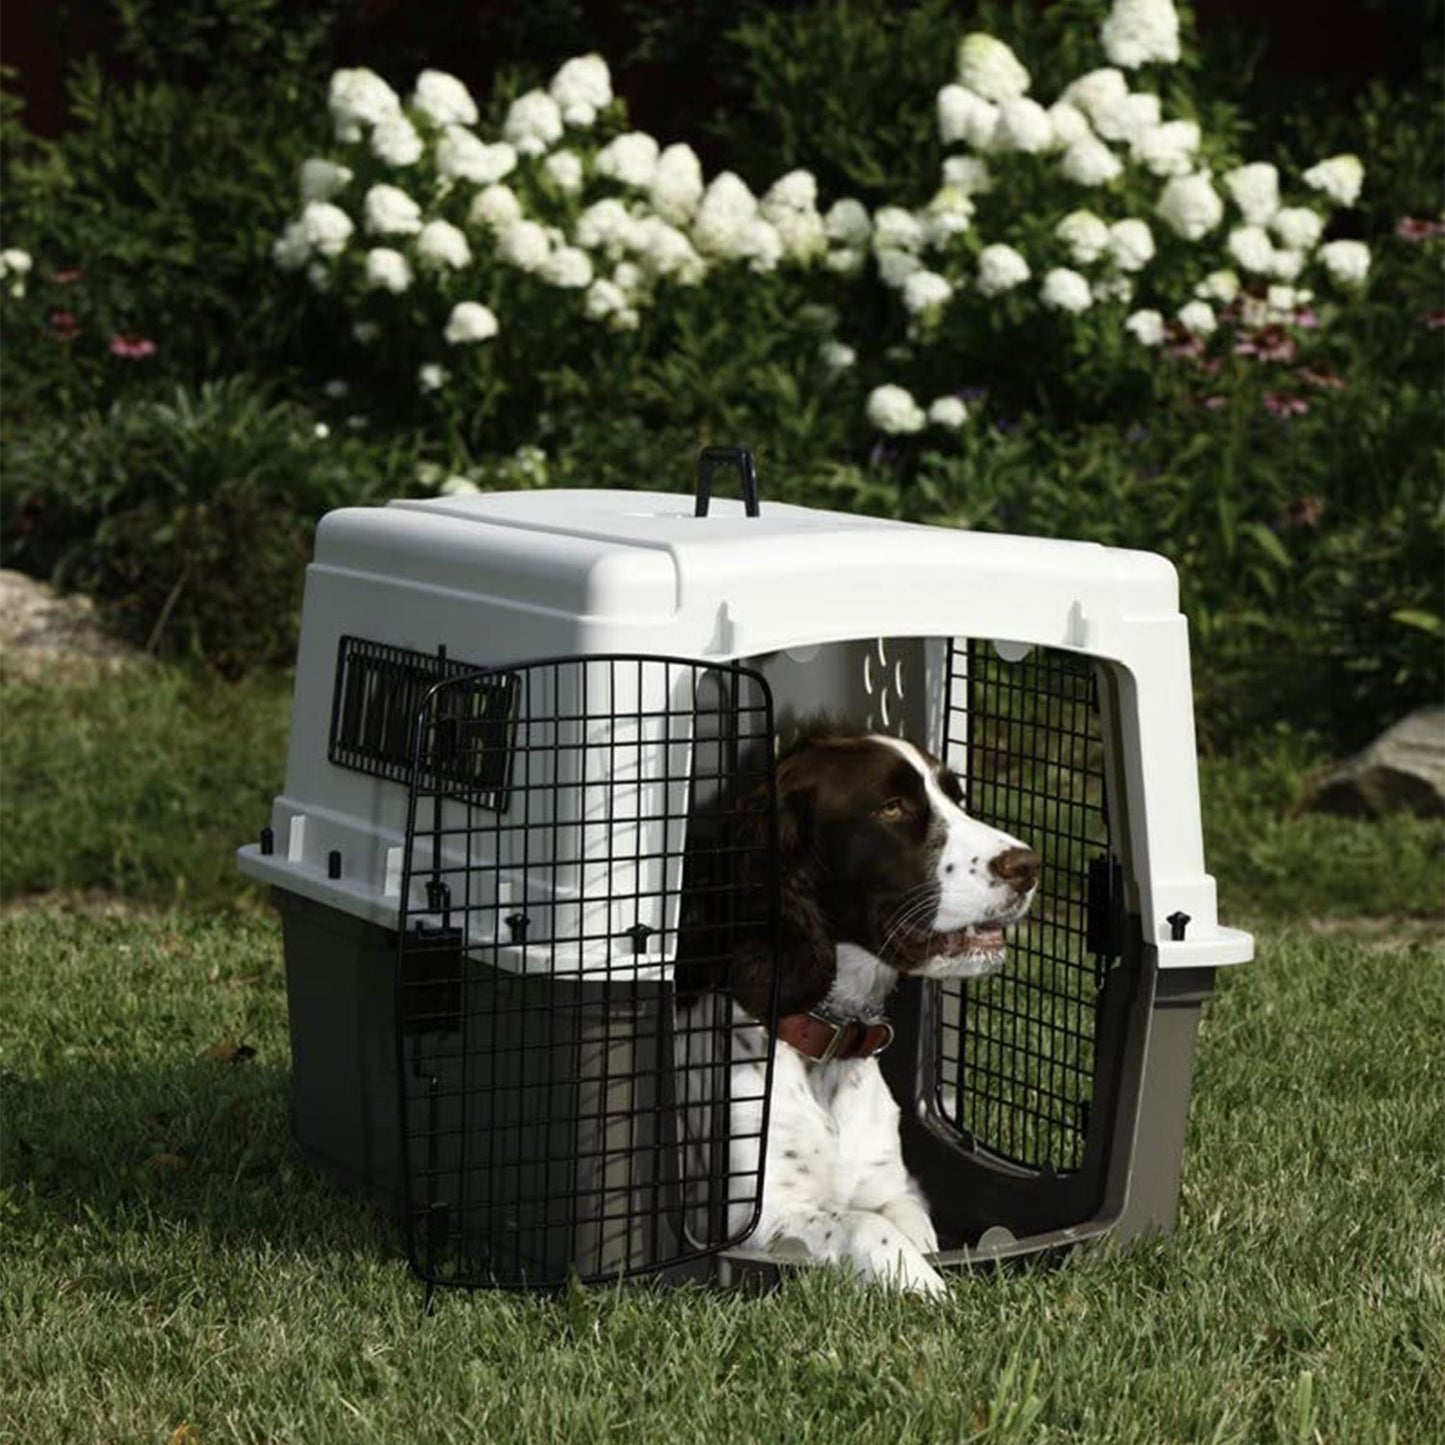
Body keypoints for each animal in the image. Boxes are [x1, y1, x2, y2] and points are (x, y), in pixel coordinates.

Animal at [679, 728, 1034, 1294]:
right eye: (891, 808)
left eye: (956, 798)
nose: (1028, 866)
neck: (827, 1048)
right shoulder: (751, 1219)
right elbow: (863, 1224)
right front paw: (929, 1290)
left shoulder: (894, 1185)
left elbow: (909, 1222)